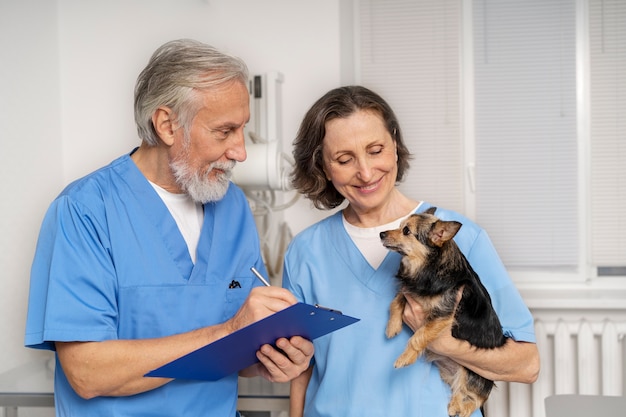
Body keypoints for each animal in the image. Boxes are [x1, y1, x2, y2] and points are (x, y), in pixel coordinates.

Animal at [378, 207, 504, 416]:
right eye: (399, 225)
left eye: (406, 231)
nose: (381, 233)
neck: (428, 268)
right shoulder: (412, 291)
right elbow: (396, 301)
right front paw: (392, 327)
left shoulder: (443, 315)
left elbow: (418, 336)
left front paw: (405, 358)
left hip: (471, 372)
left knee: (474, 398)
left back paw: (459, 408)